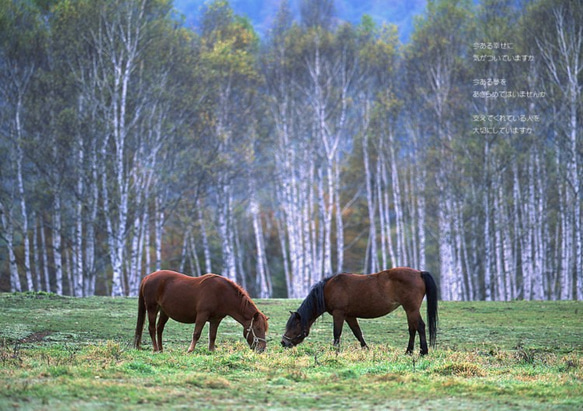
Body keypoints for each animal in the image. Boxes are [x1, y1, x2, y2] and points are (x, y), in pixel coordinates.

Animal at [134, 270, 270, 354]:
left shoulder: (216, 319)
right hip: (152, 308)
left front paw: (211, 351)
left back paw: (161, 349)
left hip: (164, 312)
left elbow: (213, 336)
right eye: (258, 328)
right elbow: (196, 333)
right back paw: (156, 349)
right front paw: (190, 350)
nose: (262, 349)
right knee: (152, 328)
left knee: (159, 328)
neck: (222, 294)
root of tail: (147, 277)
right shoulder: (202, 315)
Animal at [282, 268, 438, 356]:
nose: (283, 342)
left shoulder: (339, 314)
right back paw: (408, 352)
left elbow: (337, 333)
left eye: (294, 326)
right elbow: (357, 333)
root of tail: (419, 273)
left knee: (420, 326)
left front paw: (335, 352)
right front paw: (366, 349)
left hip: (411, 309)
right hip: (409, 310)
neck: (328, 289)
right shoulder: (350, 316)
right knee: (412, 329)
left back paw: (423, 352)